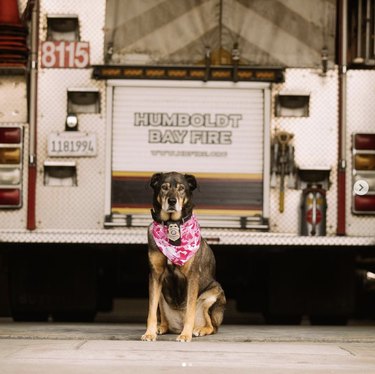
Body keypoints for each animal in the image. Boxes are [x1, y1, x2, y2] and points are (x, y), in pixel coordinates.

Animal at [142, 172, 226, 342]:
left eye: (181, 188)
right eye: (164, 187)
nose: (172, 201)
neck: (171, 224)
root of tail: (176, 326)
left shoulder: (192, 276)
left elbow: (190, 311)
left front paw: (186, 335)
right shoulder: (155, 275)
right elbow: (151, 312)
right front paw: (149, 333)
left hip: (214, 293)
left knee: (212, 326)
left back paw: (198, 330)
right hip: (162, 295)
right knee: (164, 318)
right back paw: (162, 327)